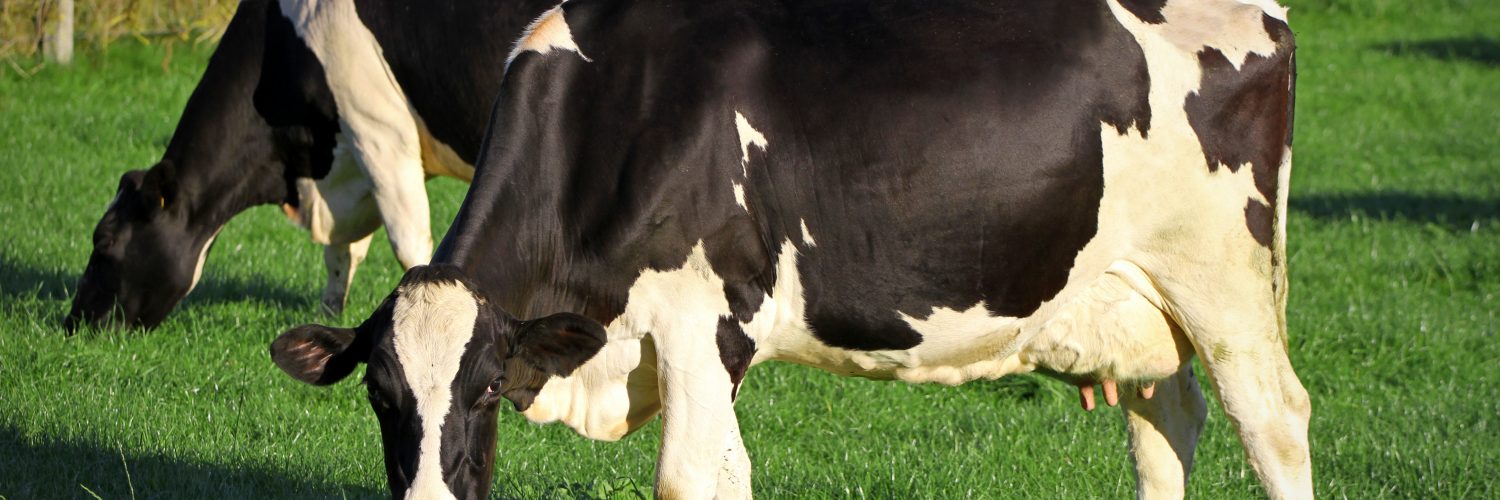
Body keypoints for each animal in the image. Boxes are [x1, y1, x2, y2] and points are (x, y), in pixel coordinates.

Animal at [65, 0, 561, 331]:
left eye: (104, 241)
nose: (73, 323)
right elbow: (341, 253)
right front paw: (331, 314)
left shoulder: (380, 132)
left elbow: (409, 243)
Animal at [269, 0, 1310, 498]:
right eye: (380, 394)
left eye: (486, 387)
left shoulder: (700, 326)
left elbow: (691, 481)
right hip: (1133, 301)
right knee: (1167, 426)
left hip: (1225, 284)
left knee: (1273, 423)